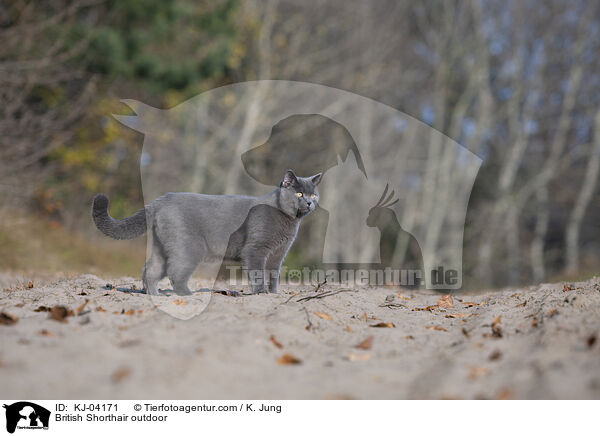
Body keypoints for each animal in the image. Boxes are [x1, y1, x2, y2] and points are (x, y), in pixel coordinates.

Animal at [91, 169, 322, 294]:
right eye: (299, 193)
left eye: (314, 195)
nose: (310, 203)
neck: (288, 220)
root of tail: (160, 200)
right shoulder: (256, 250)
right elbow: (257, 273)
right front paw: (261, 293)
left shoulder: (278, 254)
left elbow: (273, 274)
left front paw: (273, 293)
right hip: (189, 247)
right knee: (175, 273)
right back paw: (188, 295)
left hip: (162, 246)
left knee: (150, 269)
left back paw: (155, 296)